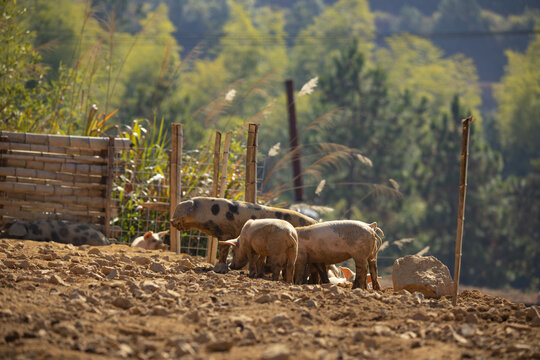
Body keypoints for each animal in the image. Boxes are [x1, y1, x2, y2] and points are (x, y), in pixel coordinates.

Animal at [171, 197, 316, 272]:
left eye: (178, 212)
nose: (171, 221)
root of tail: (315, 221)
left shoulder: (226, 233)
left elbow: (223, 250)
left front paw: (219, 269)